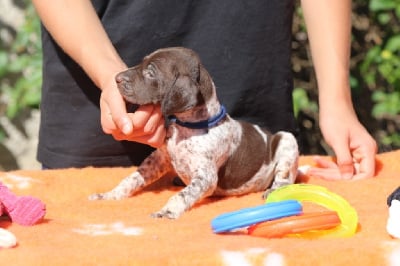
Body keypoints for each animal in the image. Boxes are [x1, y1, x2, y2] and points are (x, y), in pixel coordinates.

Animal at [89, 46, 298, 219]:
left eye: (150, 72)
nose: (116, 78)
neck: (187, 129)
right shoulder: (159, 159)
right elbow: (132, 178)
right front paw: (110, 195)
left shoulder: (206, 177)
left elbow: (182, 195)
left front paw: (167, 211)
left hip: (287, 139)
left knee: (285, 177)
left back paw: (275, 190)